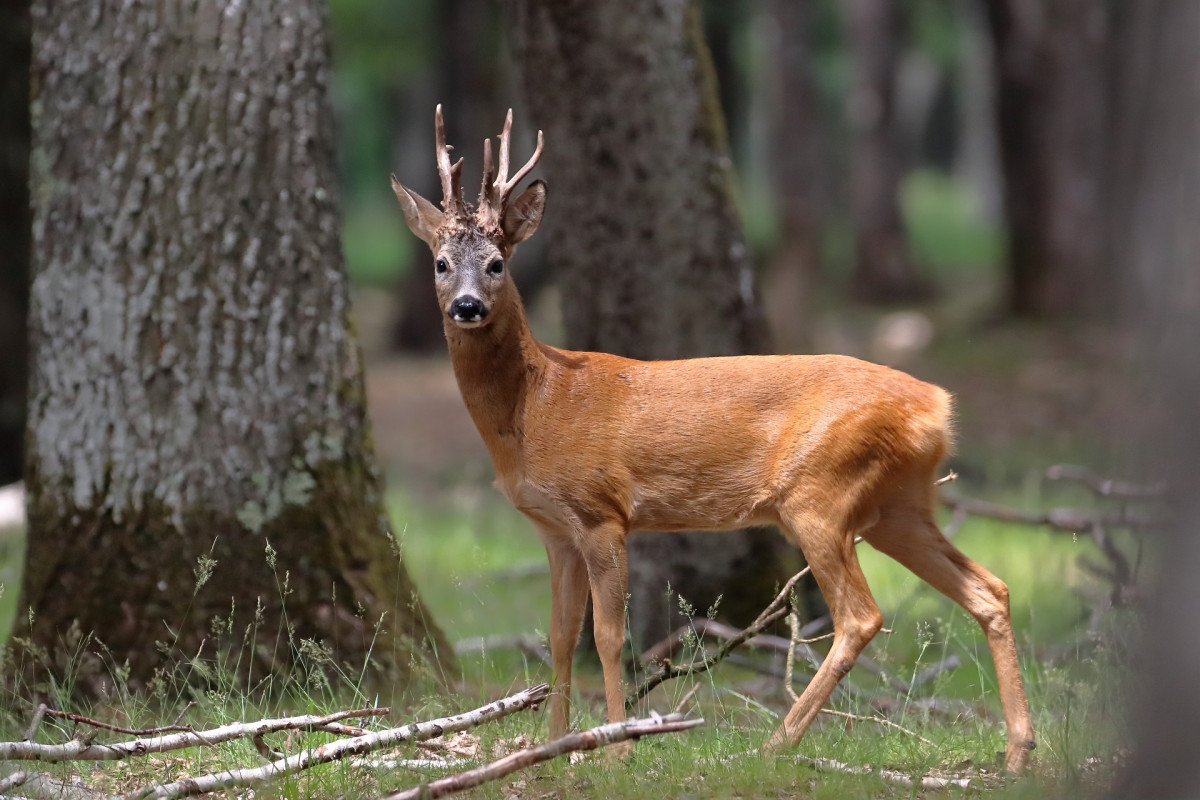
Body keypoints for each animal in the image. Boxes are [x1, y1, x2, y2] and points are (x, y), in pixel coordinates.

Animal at [388, 104, 1036, 767]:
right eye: (441, 263)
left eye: (497, 263)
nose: (467, 306)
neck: (538, 404)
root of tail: (937, 406)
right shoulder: (554, 530)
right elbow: (560, 636)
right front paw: (556, 747)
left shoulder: (602, 514)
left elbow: (610, 636)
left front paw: (617, 748)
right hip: (898, 505)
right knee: (990, 589)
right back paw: (1018, 750)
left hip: (820, 494)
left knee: (861, 617)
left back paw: (777, 742)